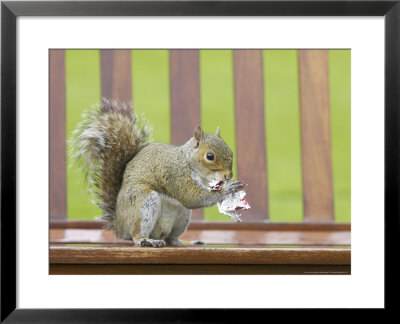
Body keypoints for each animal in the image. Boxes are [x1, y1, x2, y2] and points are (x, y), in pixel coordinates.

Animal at [72, 98, 244, 248]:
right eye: (210, 156)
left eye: (230, 151)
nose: (228, 176)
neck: (188, 161)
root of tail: (119, 226)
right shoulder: (175, 174)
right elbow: (191, 197)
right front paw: (227, 189)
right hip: (143, 202)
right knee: (136, 234)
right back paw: (147, 240)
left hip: (182, 216)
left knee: (172, 239)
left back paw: (187, 242)